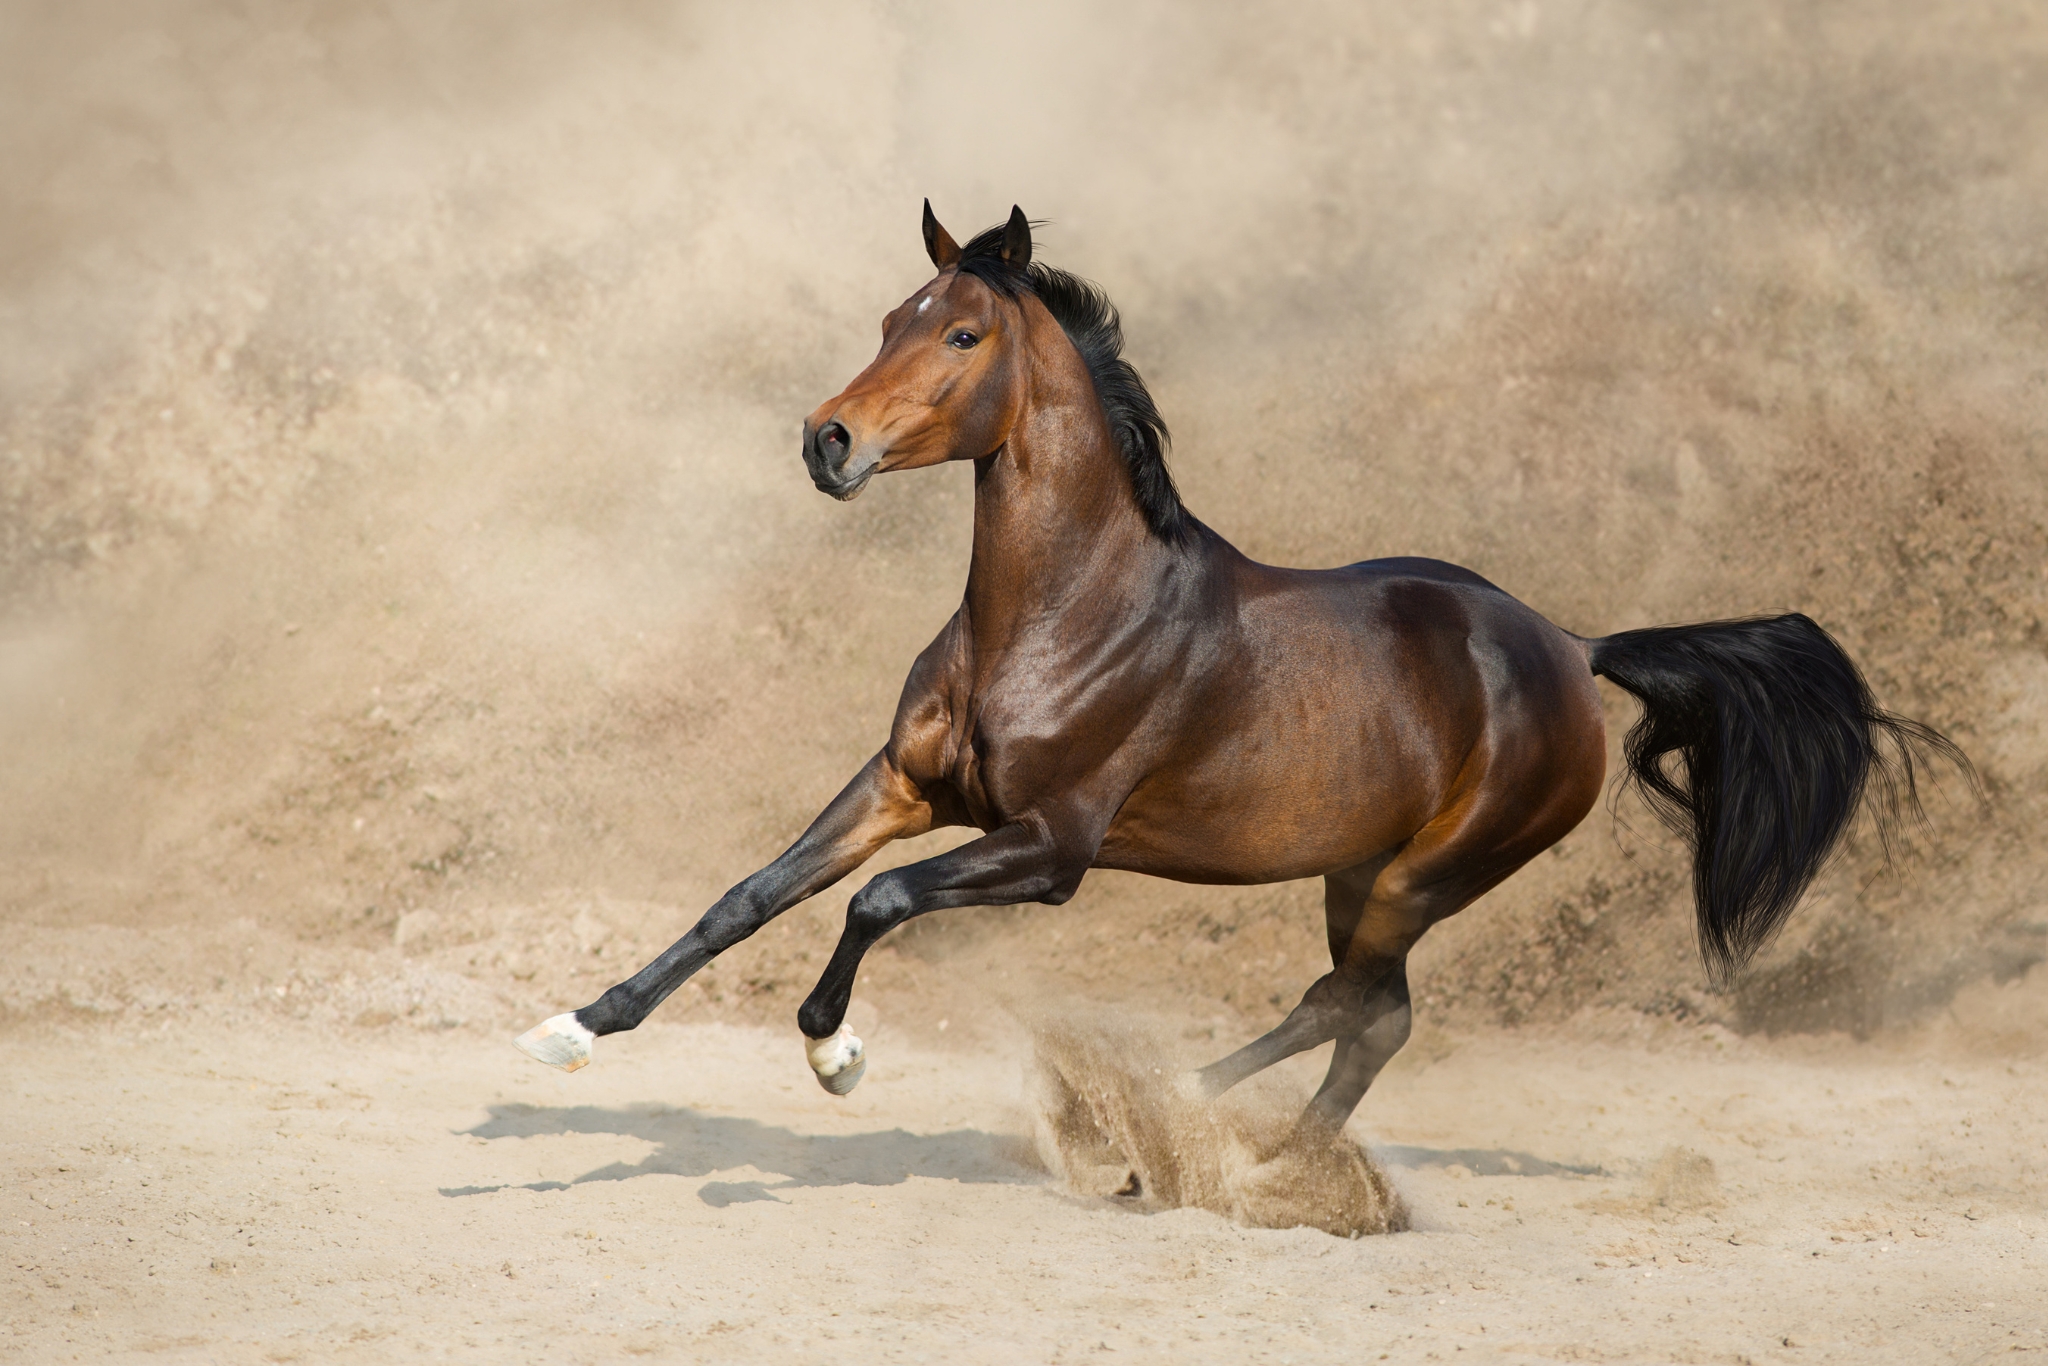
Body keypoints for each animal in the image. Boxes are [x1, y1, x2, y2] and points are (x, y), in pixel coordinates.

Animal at [517, 202, 1965, 1133]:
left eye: (962, 336)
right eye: (891, 316)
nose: (826, 441)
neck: (1063, 610)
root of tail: (1573, 648)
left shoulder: (1051, 847)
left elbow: (874, 903)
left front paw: (838, 1057)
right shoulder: (906, 785)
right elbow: (751, 892)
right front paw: (572, 1028)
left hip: (1424, 876)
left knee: (1361, 1008)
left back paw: (1220, 1143)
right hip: (1357, 870)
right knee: (1364, 1011)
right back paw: (1222, 1139)